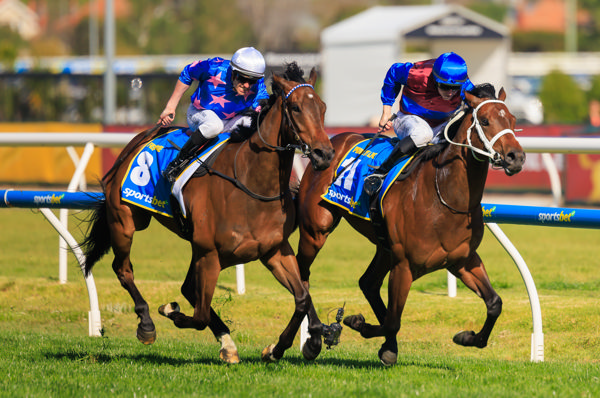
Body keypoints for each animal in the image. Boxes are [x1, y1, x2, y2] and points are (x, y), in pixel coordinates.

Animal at [79, 62, 336, 364]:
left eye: (323, 107)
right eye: (295, 107)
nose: (324, 154)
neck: (251, 184)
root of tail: (139, 139)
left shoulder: (274, 250)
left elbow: (302, 297)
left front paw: (284, 346)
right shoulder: (210, 253)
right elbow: (198, 316)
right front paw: (169, 310)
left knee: (186, 288)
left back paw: (227, 344)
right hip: (126, 221)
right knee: (124, 269)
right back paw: (147, 324)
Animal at [296, 84, 524, 366]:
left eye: (512, 120)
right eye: (485, 120)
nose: (516, 157)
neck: (444, 196)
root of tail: (333, 141)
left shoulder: (463, 260)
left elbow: (494, 303)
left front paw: (467, 337)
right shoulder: (404, 265)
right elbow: (393, 321)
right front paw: (360, 328)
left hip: (384, 246)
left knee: (368, 282)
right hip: (316, 230)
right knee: (302, 274)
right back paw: (314, 339)